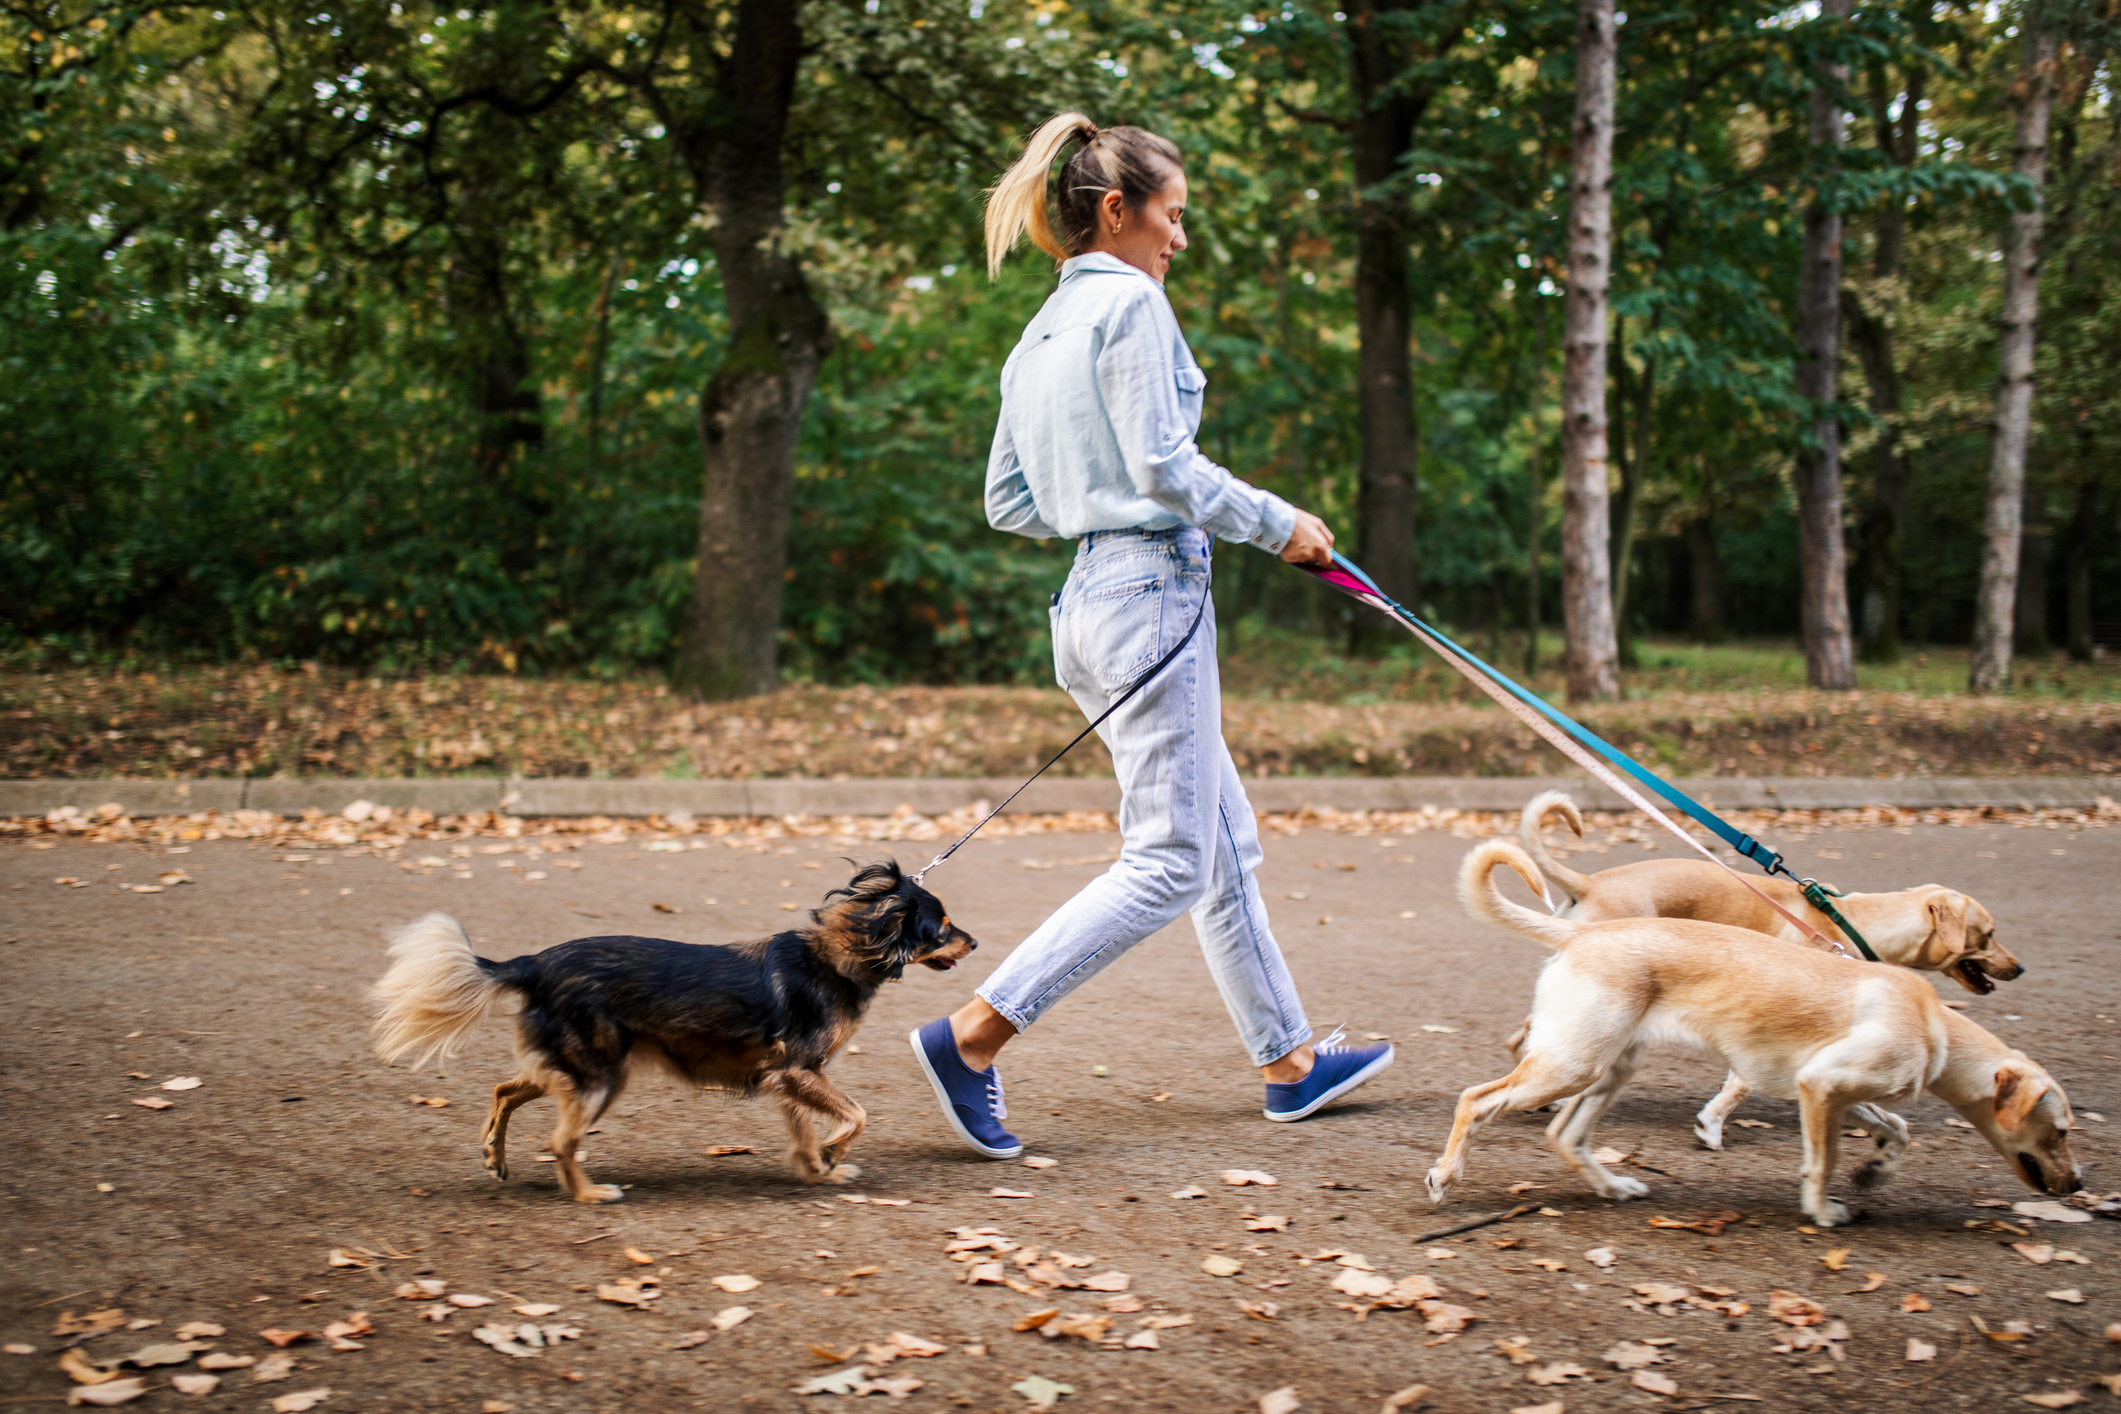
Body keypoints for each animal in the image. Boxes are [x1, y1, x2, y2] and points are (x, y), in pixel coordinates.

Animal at [373, 864, 975, 1204]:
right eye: (942, 927)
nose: (976, 942)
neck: (841, 953)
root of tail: (535, 963)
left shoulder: (788, 1079)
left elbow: (805, 1133)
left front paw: (818, 1171)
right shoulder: (799, 1070)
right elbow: (857, 1114)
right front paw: (831, 1153)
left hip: (574, 1069)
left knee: (504, 1090)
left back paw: (495, 1159)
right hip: (601, 1077)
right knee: (560, 1141)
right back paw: (589, 1196)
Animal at [1433, 839, 2078, 1229]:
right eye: (2063, 1131)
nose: (2079, 1182)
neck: (1930, 1021)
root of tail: (1586, 928)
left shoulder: (1828, 1086)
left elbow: (1895, 1127)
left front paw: (1875, 1171)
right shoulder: (1819, 1085)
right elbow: (1819, 1157)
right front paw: (1823, 1209)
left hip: (1609, 1066)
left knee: (1565, 1134)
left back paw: (1612, 1186)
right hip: (1573, 1064)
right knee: (1477, 1099)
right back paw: (1446, 1175)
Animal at [1518, 797, 2010, 1153]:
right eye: (1988, 934)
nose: (2019, 967)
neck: (1852, 920)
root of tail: (1589, 883)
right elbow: (1740, 1085)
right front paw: (1712, 1124)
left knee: (1527, 1034)